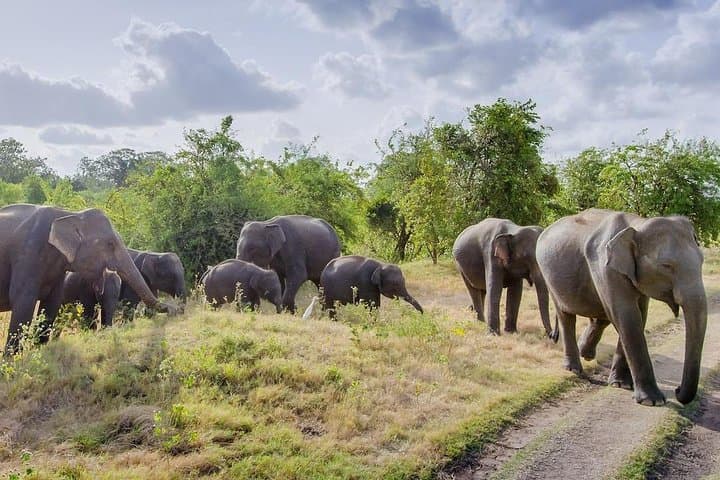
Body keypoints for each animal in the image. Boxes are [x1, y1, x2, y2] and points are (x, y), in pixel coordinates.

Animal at [0, 204, 179, 355]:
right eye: (110, 244)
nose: (176, 310)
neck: (69, 214)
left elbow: (51, 304)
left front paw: (40, 353)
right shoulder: (27, 255)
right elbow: (23, 302)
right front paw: (14, 361)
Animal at [536, 208, 706, 406]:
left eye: (702, 261)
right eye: (666, 266)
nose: (678, 390)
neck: (638, 224)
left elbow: (639, 315)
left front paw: (621, 385)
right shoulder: (605, 267)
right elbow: (628, 317)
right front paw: (652, 401)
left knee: (601, 317)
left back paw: (586, 354)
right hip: (548, 275)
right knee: (566, 317)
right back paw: (574, 369)